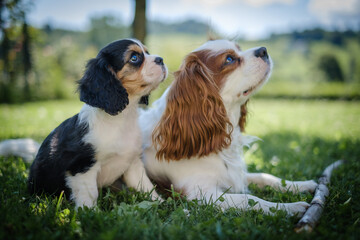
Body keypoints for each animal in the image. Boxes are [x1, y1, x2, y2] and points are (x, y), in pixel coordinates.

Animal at [28, 38, 167, 207]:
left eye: (147, 52)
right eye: (134, 58)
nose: (161, 59)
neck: (121, 118)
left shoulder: (133, 163)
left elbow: (147, 187)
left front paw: (162, 204)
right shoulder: (82, 167)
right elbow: (89, 193)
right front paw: (89, 211)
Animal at [139, 39, 316, 216]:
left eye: (239, 49)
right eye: (229, 59)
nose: (263, 50)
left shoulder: (236, 174)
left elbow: (265, 176)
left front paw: (302, 185)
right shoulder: (201, 193)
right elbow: (250, 199)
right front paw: (289, 207)